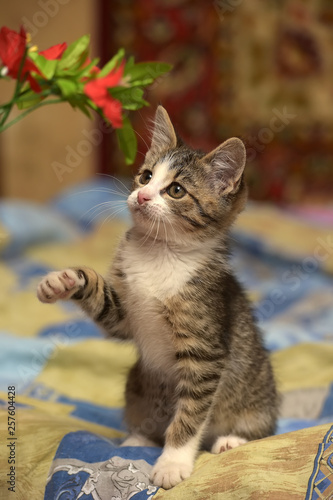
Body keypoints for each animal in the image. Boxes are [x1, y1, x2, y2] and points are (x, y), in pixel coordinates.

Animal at [37, 105, 278, 488]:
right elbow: (102, 299)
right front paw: (63, 280)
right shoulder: (126, 317)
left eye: (176, 190)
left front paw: (172, 462)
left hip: (255, 391)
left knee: (258, 426)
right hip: (137, 383)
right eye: (146, 176)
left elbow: (191, 413)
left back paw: (232, 440)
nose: (142, 196)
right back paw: (138, 438)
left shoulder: (205, 352)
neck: (160, 252)